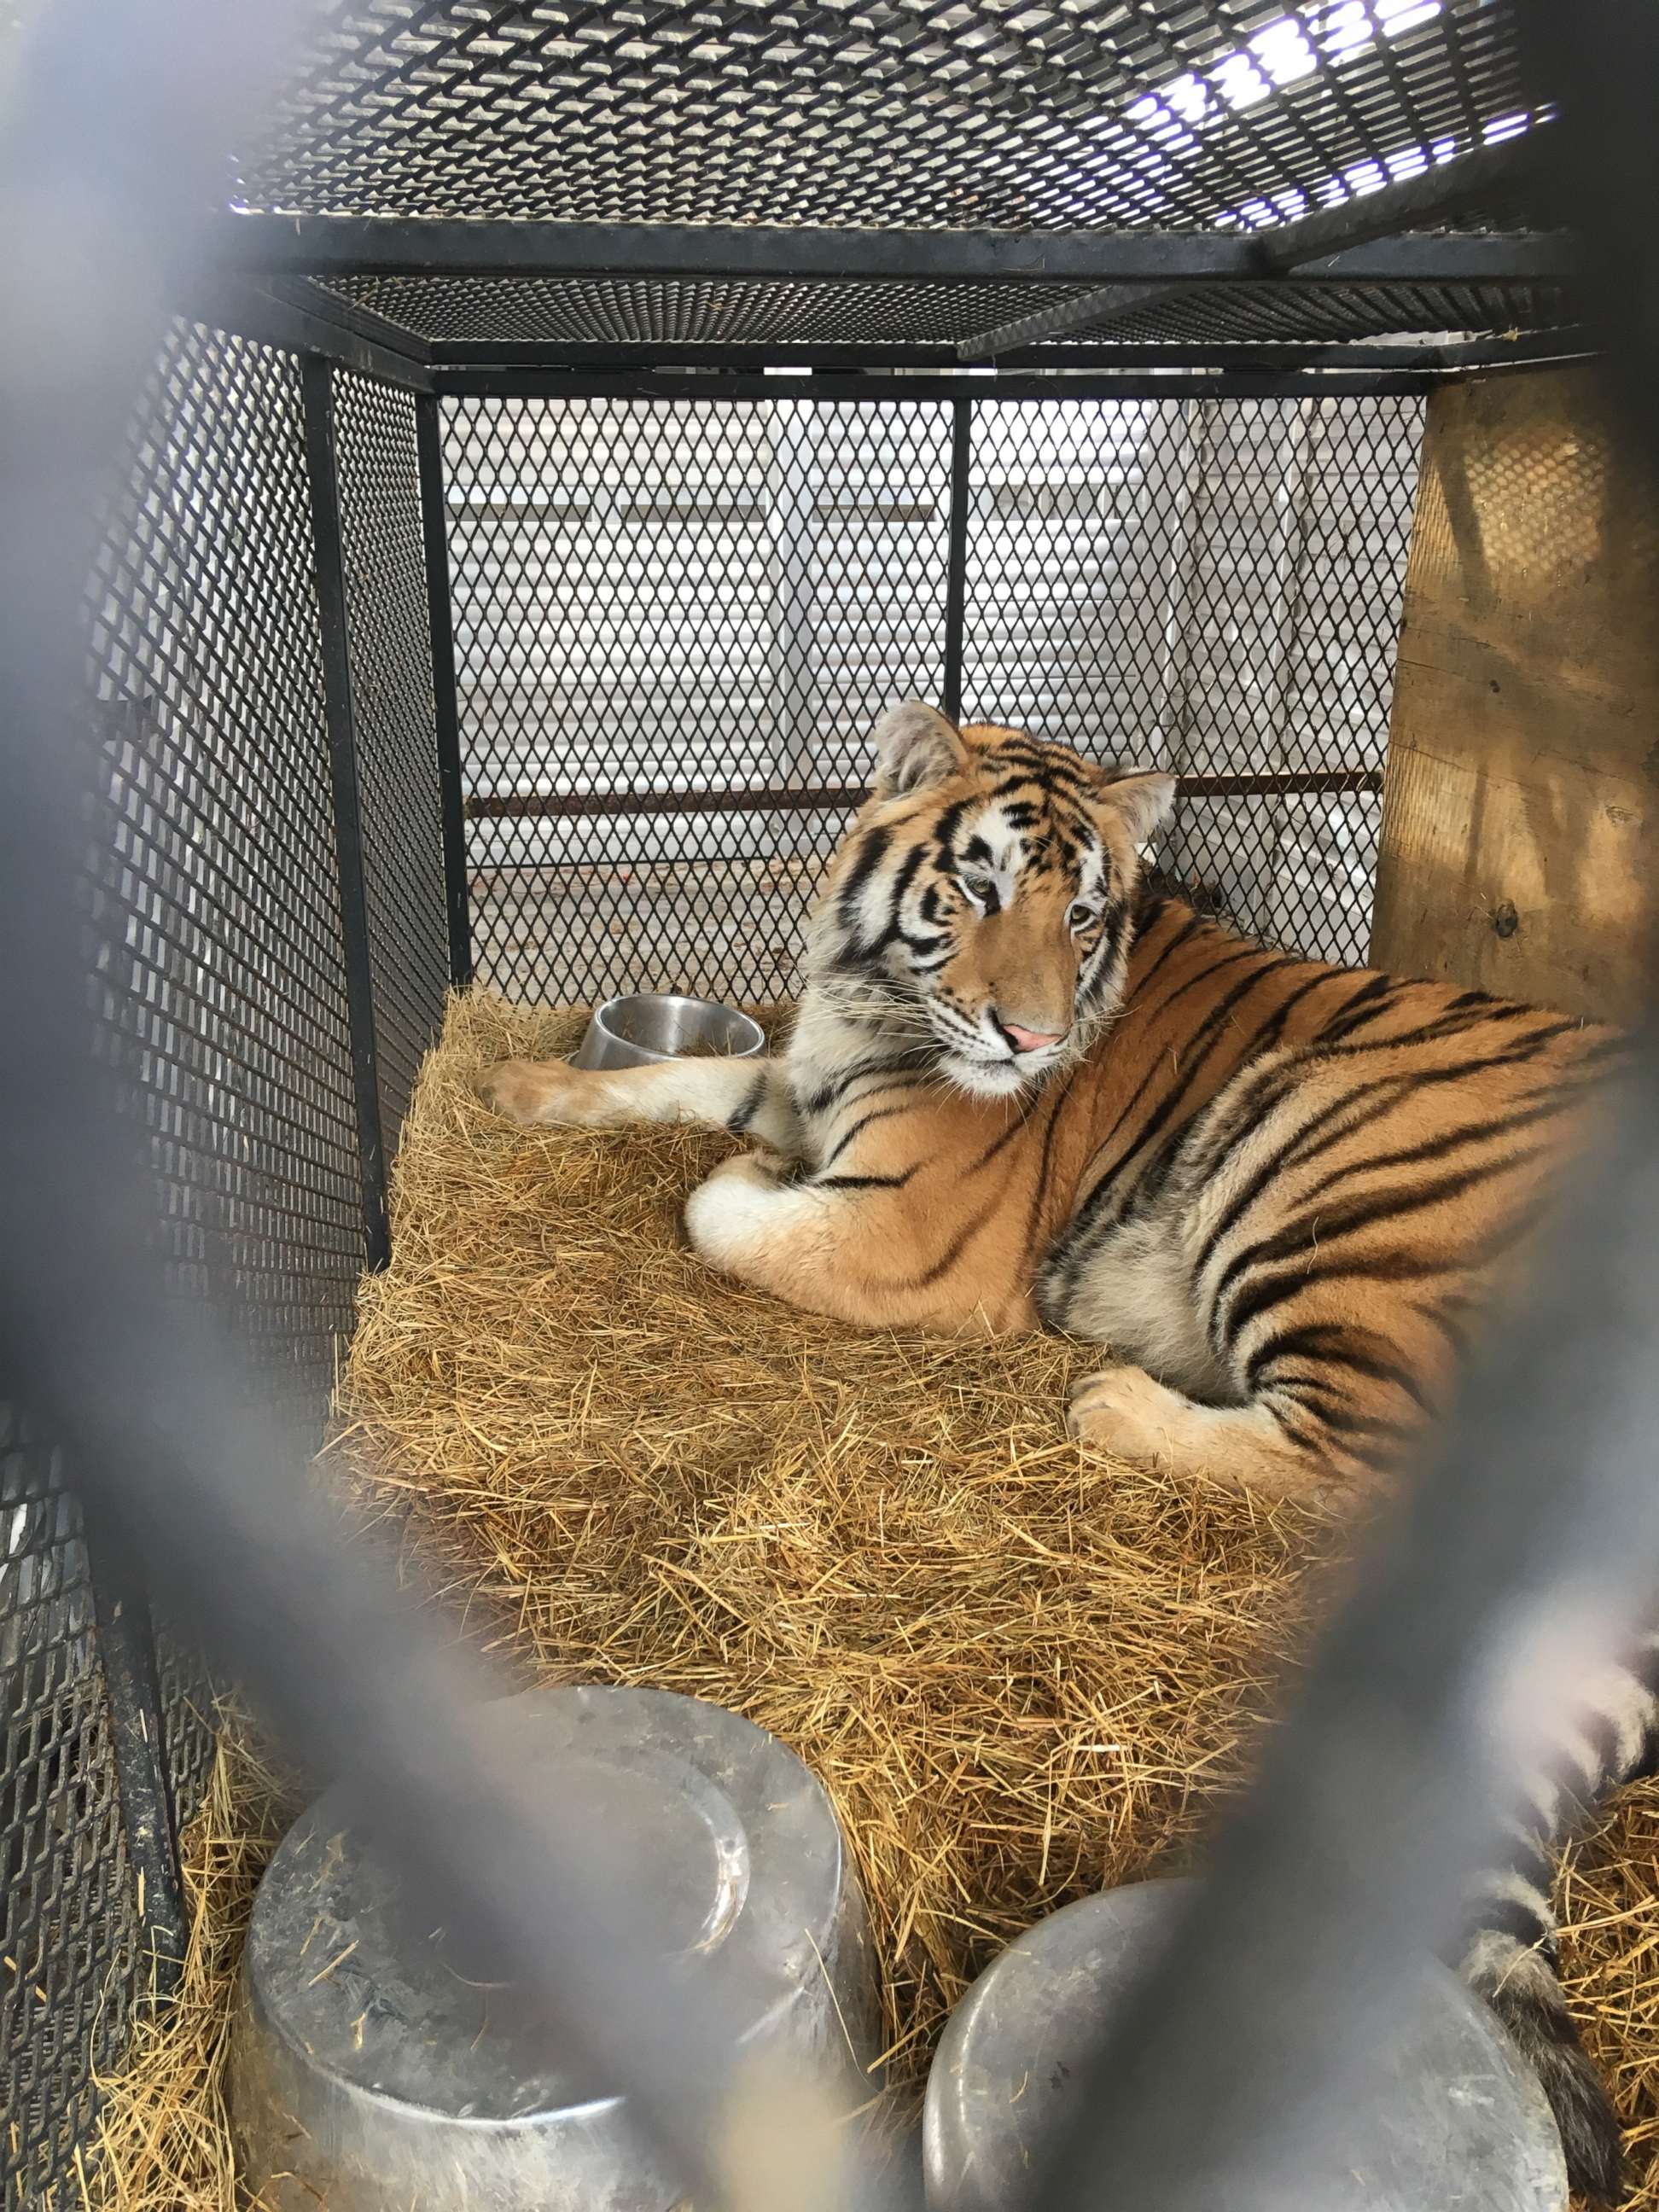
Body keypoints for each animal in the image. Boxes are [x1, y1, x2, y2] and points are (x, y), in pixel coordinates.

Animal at [480, 707, 1637, 2194]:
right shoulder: (800, 1070)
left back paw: (1115, 1401)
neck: (871, 1006)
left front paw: (738, 1180)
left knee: (1367, 1457)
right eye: (974, 889)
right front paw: (525, 1082)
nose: (1027, 1033)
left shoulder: (908, 1232)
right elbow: (694, 1072)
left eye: (1083, 915)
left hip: (1324, 1144)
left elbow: (715, 1209)